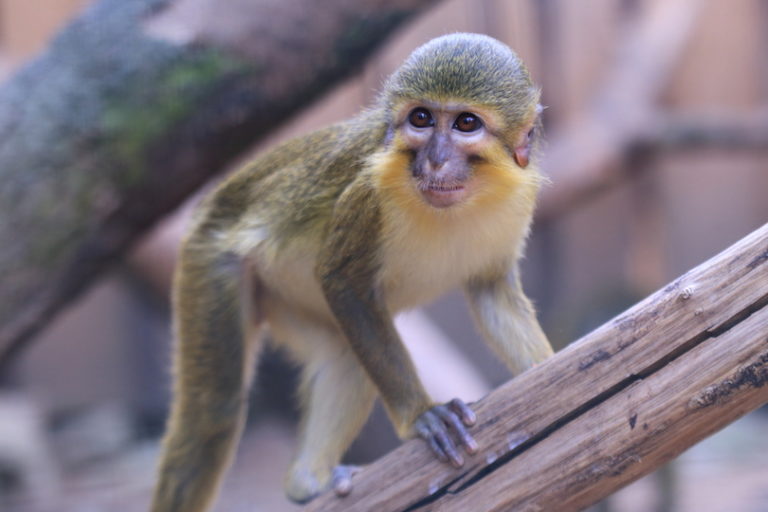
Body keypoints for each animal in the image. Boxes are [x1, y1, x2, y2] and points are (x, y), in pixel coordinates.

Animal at [150, 33, 553, 511]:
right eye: (421, 118)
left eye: (466, 124)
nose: (435, 160)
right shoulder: (367, 196)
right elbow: (342, 282)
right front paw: (423, 416)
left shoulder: (515, 210)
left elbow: (492, 294)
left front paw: (549, 369)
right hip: (209, 260)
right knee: (214, 410)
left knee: (345, 360)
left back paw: (308, 484)